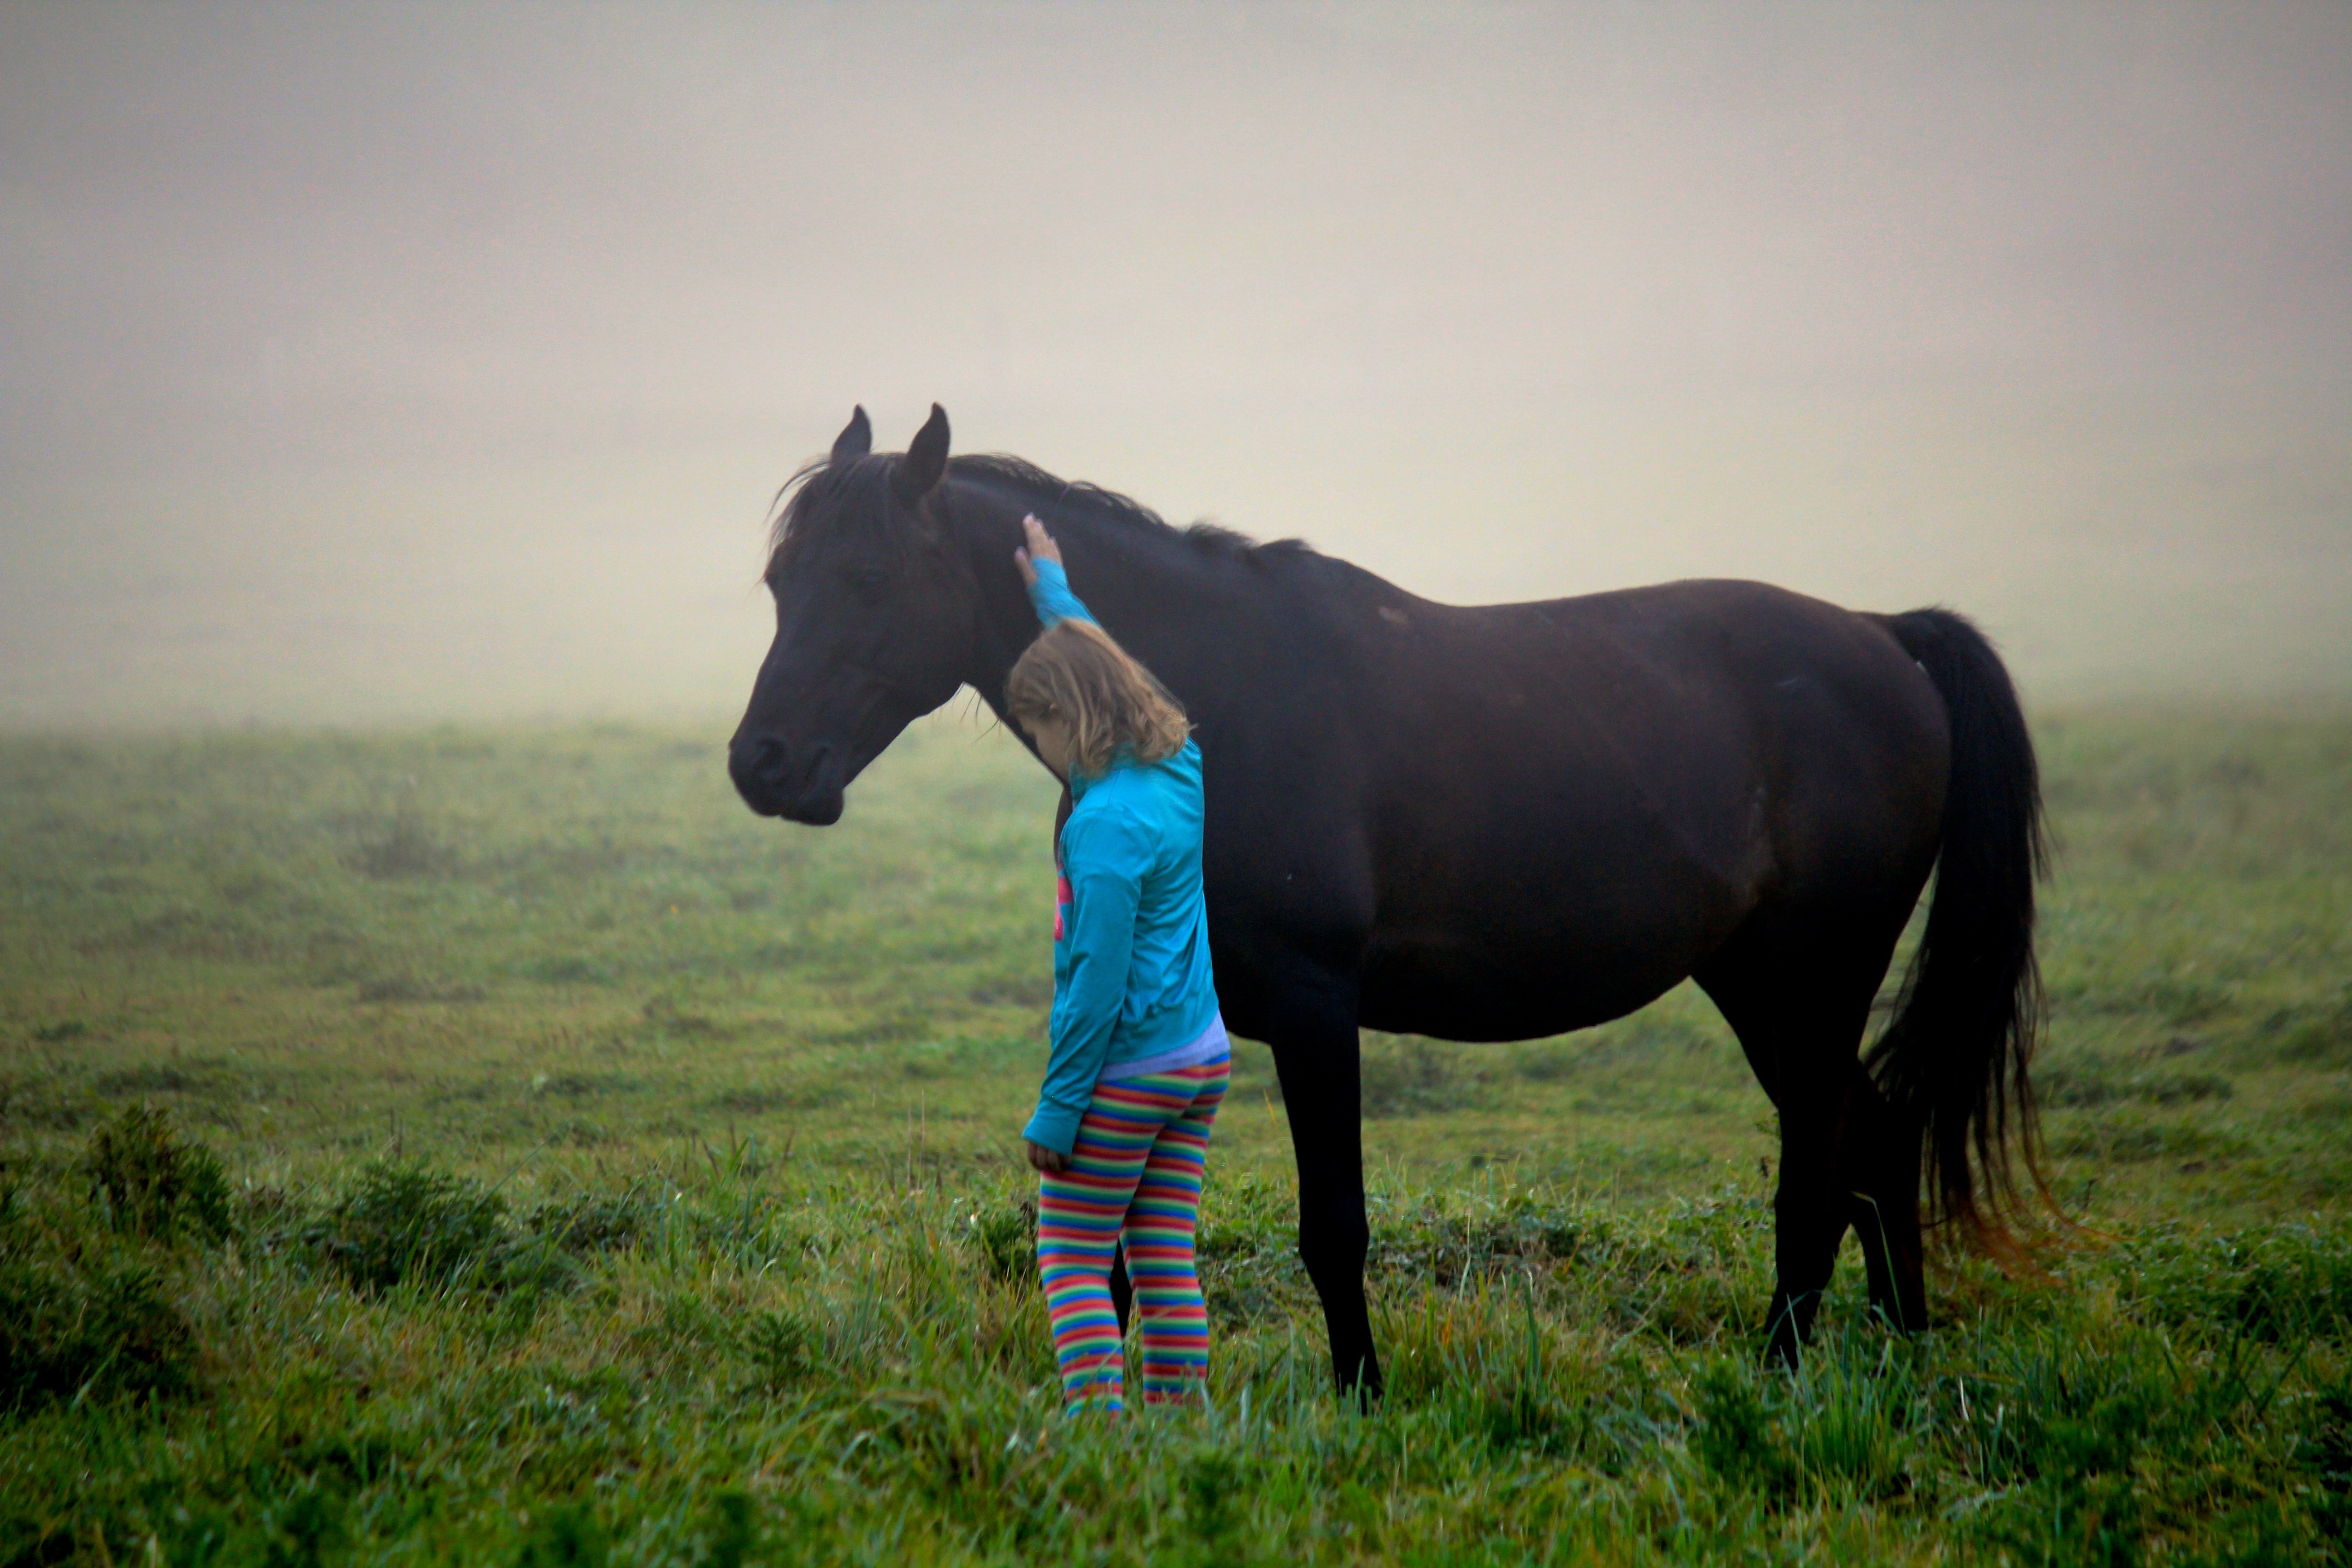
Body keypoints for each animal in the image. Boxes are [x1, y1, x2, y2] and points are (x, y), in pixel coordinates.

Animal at [730, 404, 2046, 1397]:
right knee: (1874, 1136)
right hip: (1759, 982)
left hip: (1812, 978)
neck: (1205, 700)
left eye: (867, 575)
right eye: (780, 578)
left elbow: (1334, 1225)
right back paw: (1898, 1353)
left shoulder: (1317, 1009)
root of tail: (1882, 635)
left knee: (1821, 1158)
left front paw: (1360, 1395)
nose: (763, 764)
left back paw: (1781, 1371)